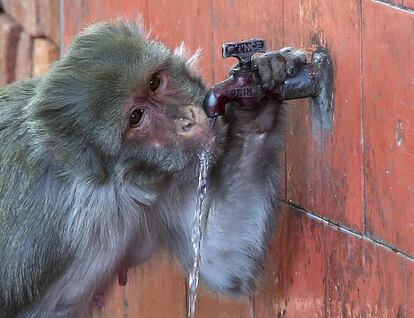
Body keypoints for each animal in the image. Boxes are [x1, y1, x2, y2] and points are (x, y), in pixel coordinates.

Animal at [0, 21, 304, 316]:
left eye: (155, 82)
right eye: (136, 117)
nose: (187, 120)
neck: (106, 181)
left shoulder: (161, 183)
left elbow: (219, 259)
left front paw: (257, 99)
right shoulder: (45, 225)